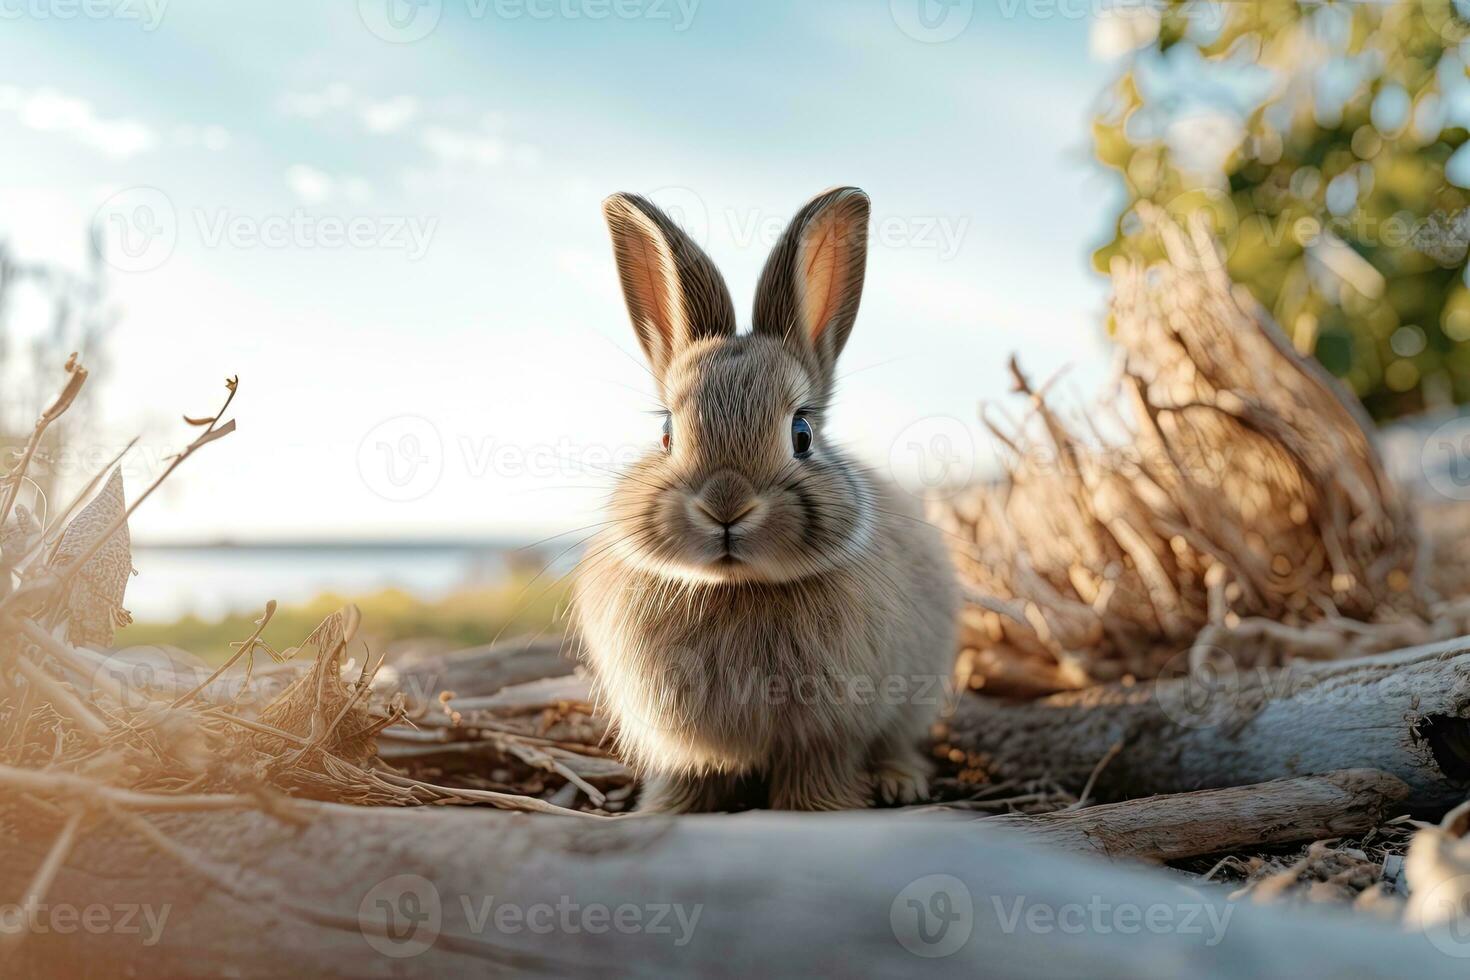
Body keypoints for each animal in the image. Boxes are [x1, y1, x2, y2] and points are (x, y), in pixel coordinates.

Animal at [567, 185, 958, 811]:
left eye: (802, 433)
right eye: (667, 433)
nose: (726, 505)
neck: (736, 587)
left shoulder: (830, 732)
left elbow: (817, 772)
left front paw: (818, 811)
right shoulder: (684, 747)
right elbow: (691, 778)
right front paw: (663, 811)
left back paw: (901, 782)